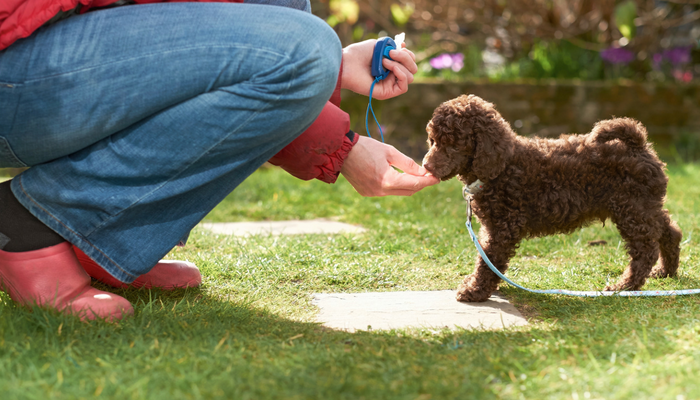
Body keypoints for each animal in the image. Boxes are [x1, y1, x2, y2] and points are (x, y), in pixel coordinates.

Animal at [424, 94, 680, 300]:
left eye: (453, 144)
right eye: (433, 140)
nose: (426, 166)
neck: (503, 167)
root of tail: (638, 145)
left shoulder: (502, 228)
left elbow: (489, 261)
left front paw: (475, 290)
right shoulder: (493, 227)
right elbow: (486, 258)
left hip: (632, 208)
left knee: (645, 250)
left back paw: (625, 286)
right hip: (644, 206)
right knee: (669, 231)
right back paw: (666, 271)